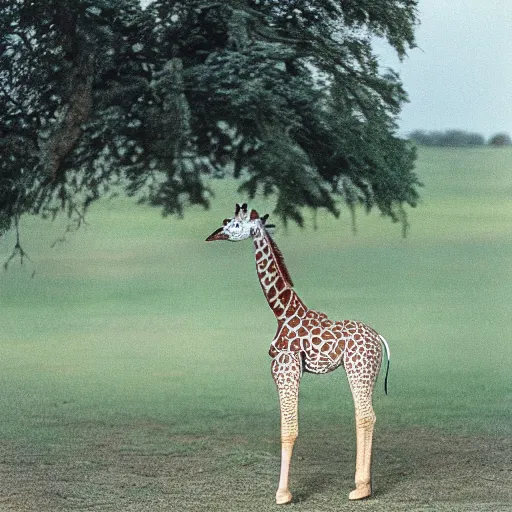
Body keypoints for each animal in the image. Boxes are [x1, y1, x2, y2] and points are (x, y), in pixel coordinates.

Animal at [206, 202, 390, 502]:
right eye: (226, 221)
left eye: (235, 224)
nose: (213, 236)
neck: (282, 312)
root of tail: (379, 339)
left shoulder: (285, 367)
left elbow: (288, 431)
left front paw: (283, 494)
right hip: (364, 370)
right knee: (363, 415)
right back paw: (363, 485)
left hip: (358, 367)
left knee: (365, 415)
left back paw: (361, 489)